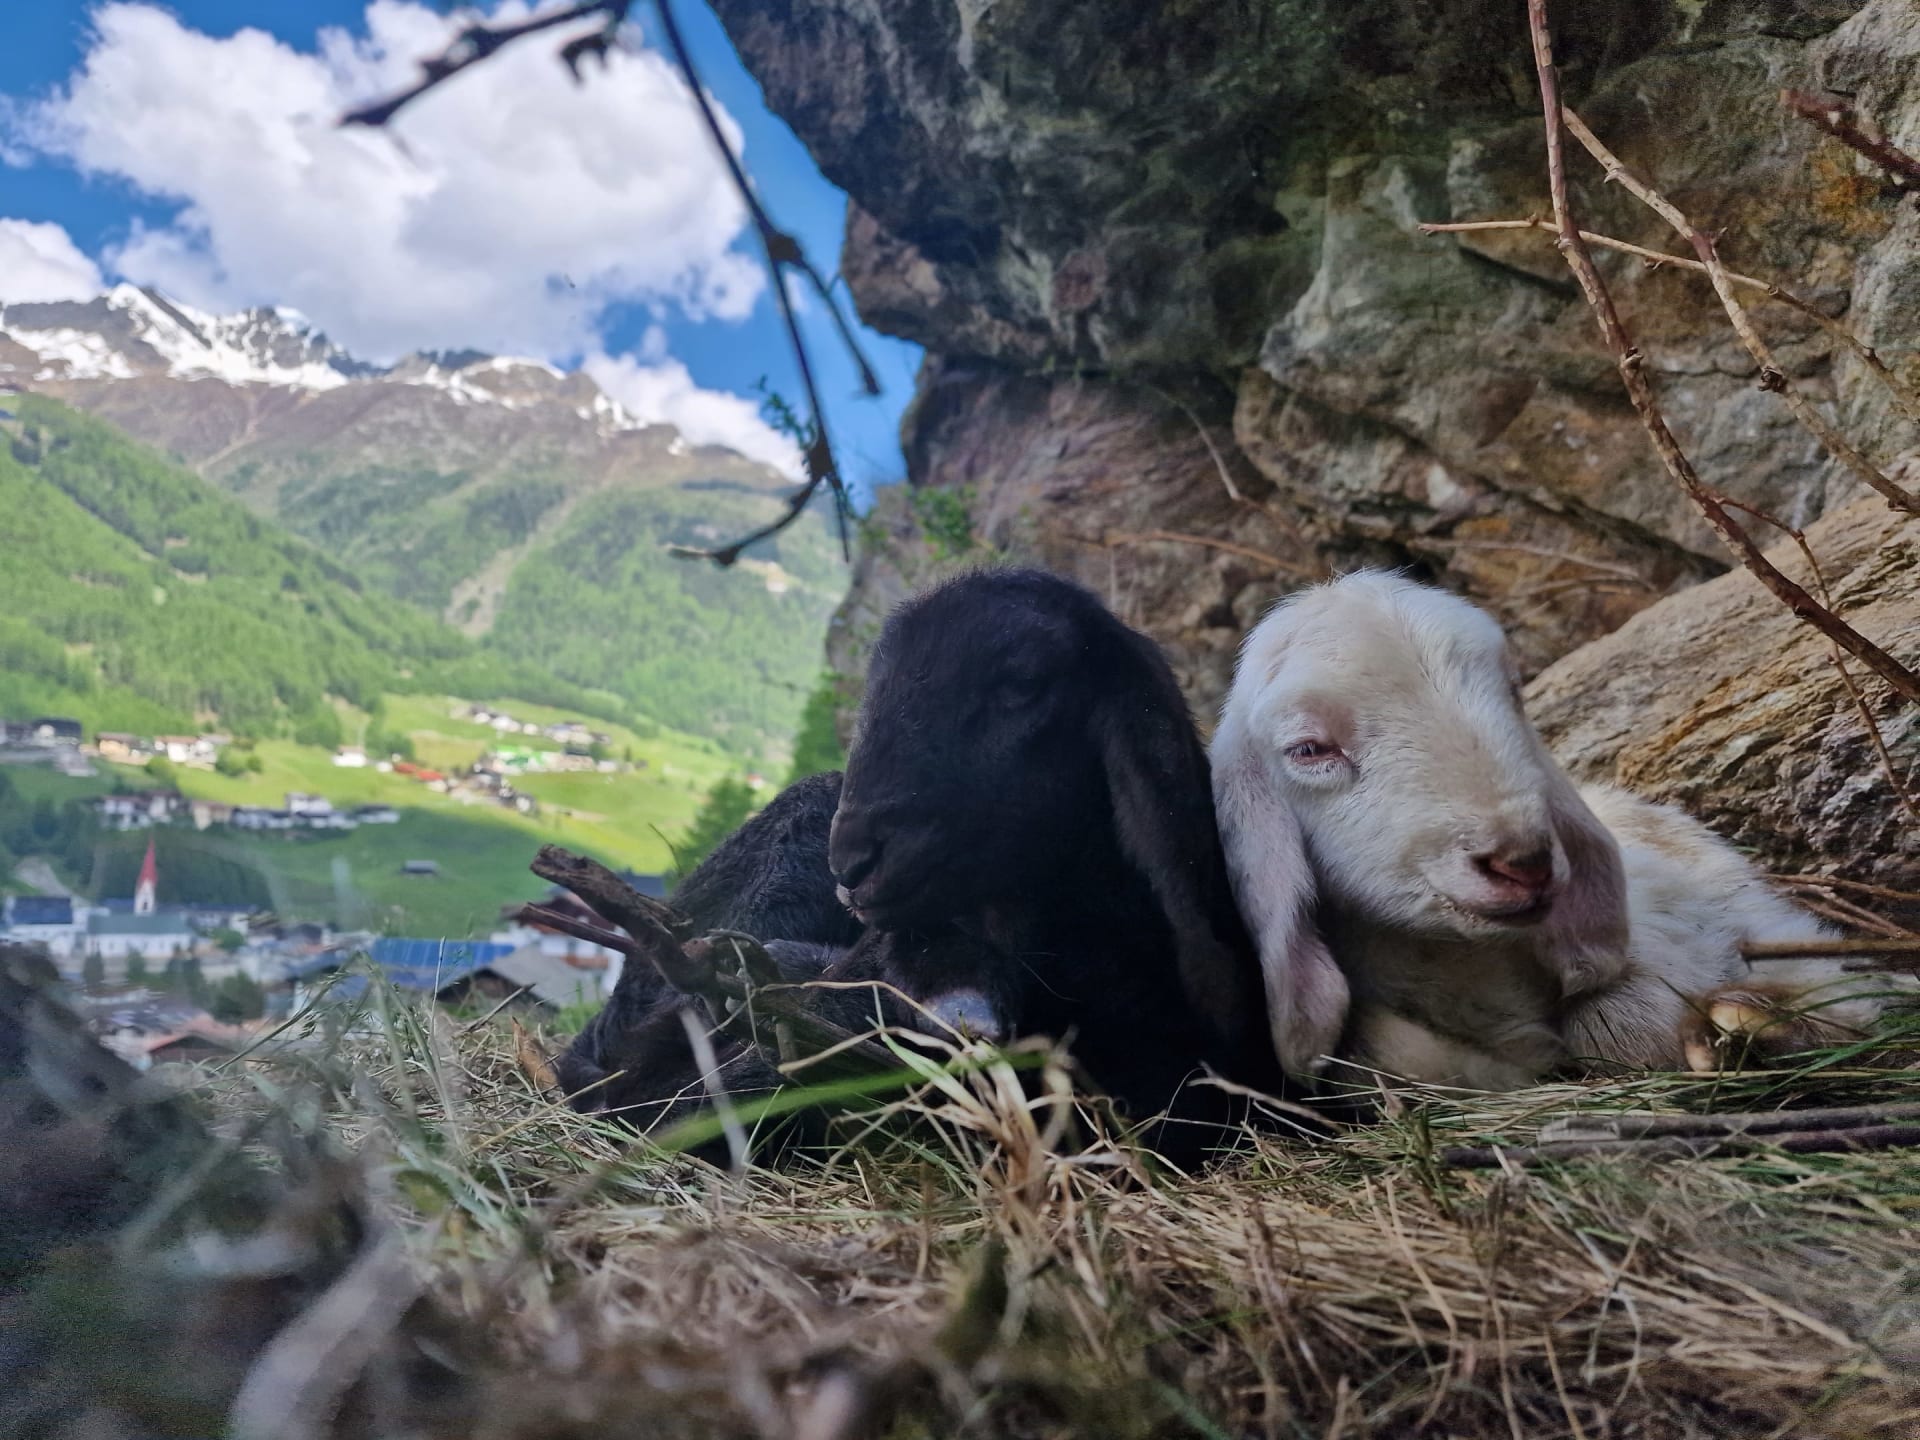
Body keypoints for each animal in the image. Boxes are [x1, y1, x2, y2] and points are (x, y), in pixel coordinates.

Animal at [1211, 568, 1903, 1090]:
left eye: (1513, 692)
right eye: (1308, 749)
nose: (1524, 860)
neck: (1460, 969)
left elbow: (1611, 1020)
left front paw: (1715, 1033)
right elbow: (1394, 1052)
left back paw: (1764, 1018)